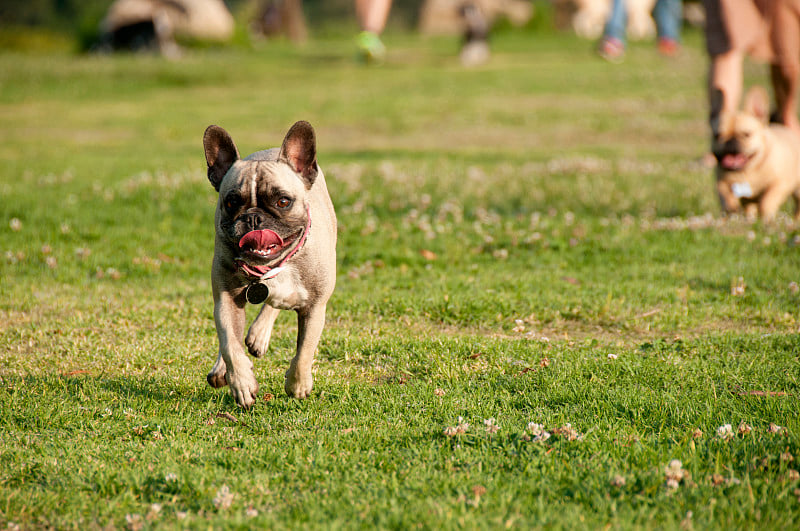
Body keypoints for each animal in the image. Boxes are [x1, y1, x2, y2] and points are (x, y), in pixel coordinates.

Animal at [712, 87, 800, 220]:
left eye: (746, 134)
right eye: (717, 136)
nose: (731, 141)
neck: (746, 172)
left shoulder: (778, 184)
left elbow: (767, 201)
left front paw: (766, 217)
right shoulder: (721, 184)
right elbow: (727, 197)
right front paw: (732, 209)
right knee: (749, 207)